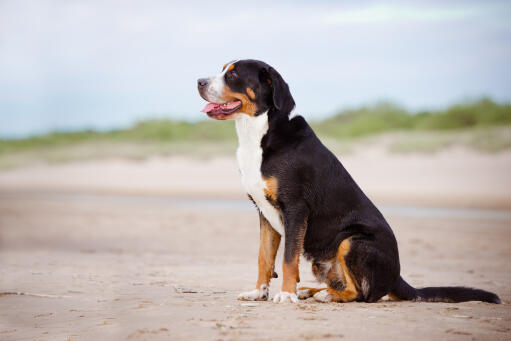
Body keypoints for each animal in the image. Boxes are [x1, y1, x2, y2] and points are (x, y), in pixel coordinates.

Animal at [198, 58, 502, 302]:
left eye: (234, 75)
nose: (199, 81)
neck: (257, 135)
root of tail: (396, 277)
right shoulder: (264, 212)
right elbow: (264, 258)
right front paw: (258, 292)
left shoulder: (295, 208)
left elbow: (287, 260)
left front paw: (285, 295)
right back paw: (311, 291)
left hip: (351, 240)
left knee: (362, 294)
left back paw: (323, 295)